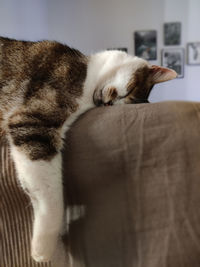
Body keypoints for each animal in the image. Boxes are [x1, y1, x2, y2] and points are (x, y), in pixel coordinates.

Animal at [0, 36, 177, 264]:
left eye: (116, 107)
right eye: (129, 91)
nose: (108, 103)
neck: (89, 73)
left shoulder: (33, 125)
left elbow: (38, 189)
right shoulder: (33, 120)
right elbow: (51, 196)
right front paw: (43, 249)